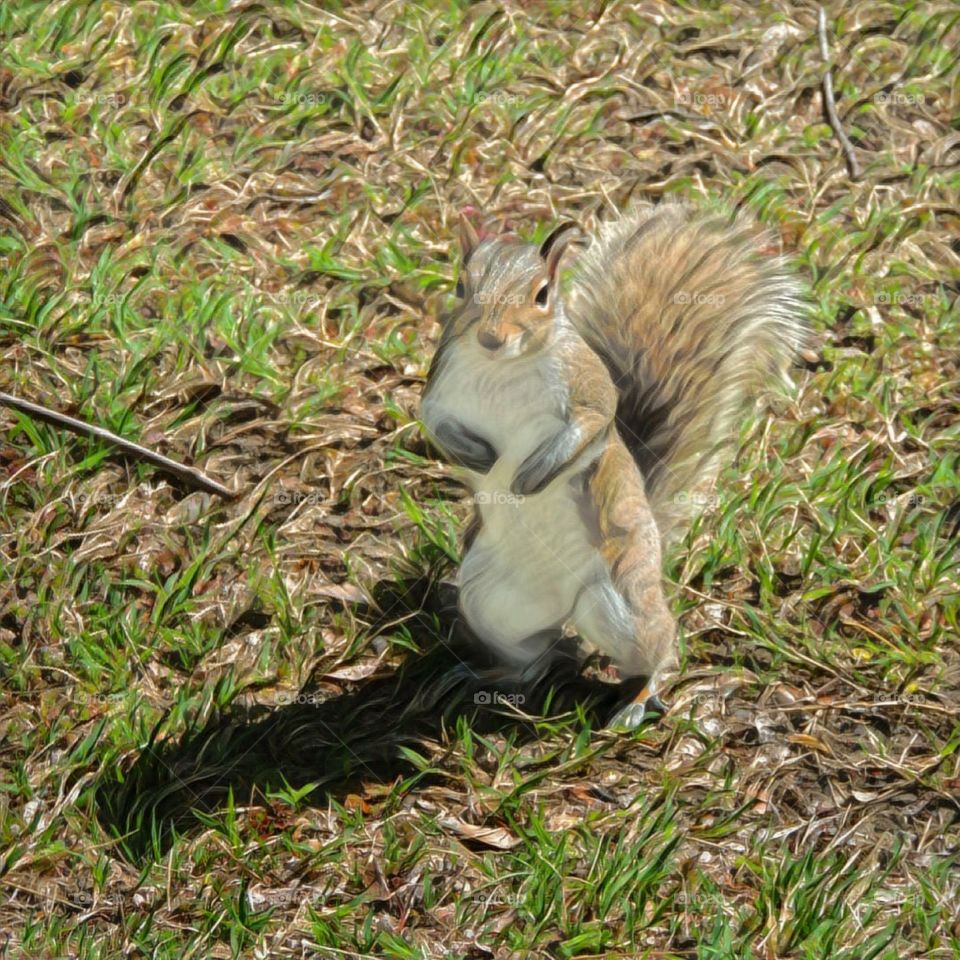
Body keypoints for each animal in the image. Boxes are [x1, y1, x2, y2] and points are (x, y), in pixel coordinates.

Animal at [419, 201, 808, 729]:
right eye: (461, 287)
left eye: (542, 295)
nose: (490, 338)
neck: (501, 369)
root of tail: (562, 608)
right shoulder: (440, 390)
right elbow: (432, 422)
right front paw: (478, 456)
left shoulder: (589, 393)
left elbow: (589, 427)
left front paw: (530, 476)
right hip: (487, 603)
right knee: (534, 660)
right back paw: (483, 676)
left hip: (623, 606)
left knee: (658, 650)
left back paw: (638, 698)